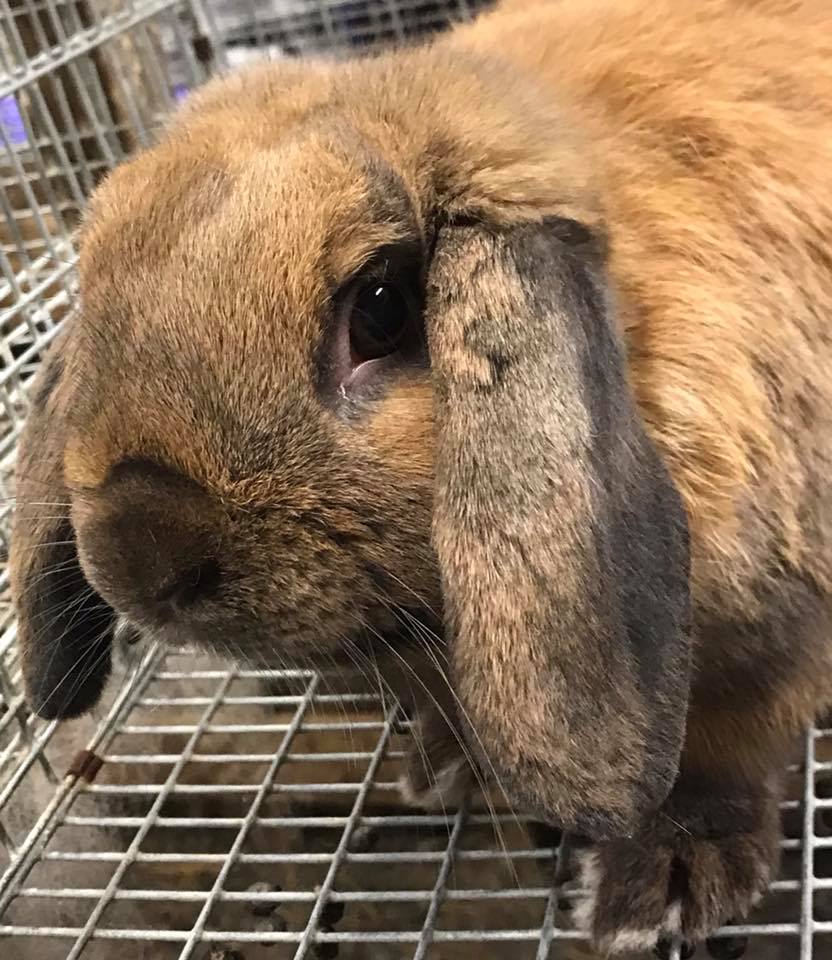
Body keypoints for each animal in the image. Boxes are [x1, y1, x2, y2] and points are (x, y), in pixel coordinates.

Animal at [10, 0, 832, 951]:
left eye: (380, 306)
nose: (140, 561)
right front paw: (440, 763)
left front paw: (662, 885)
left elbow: (728, 746)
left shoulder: (774, 635)